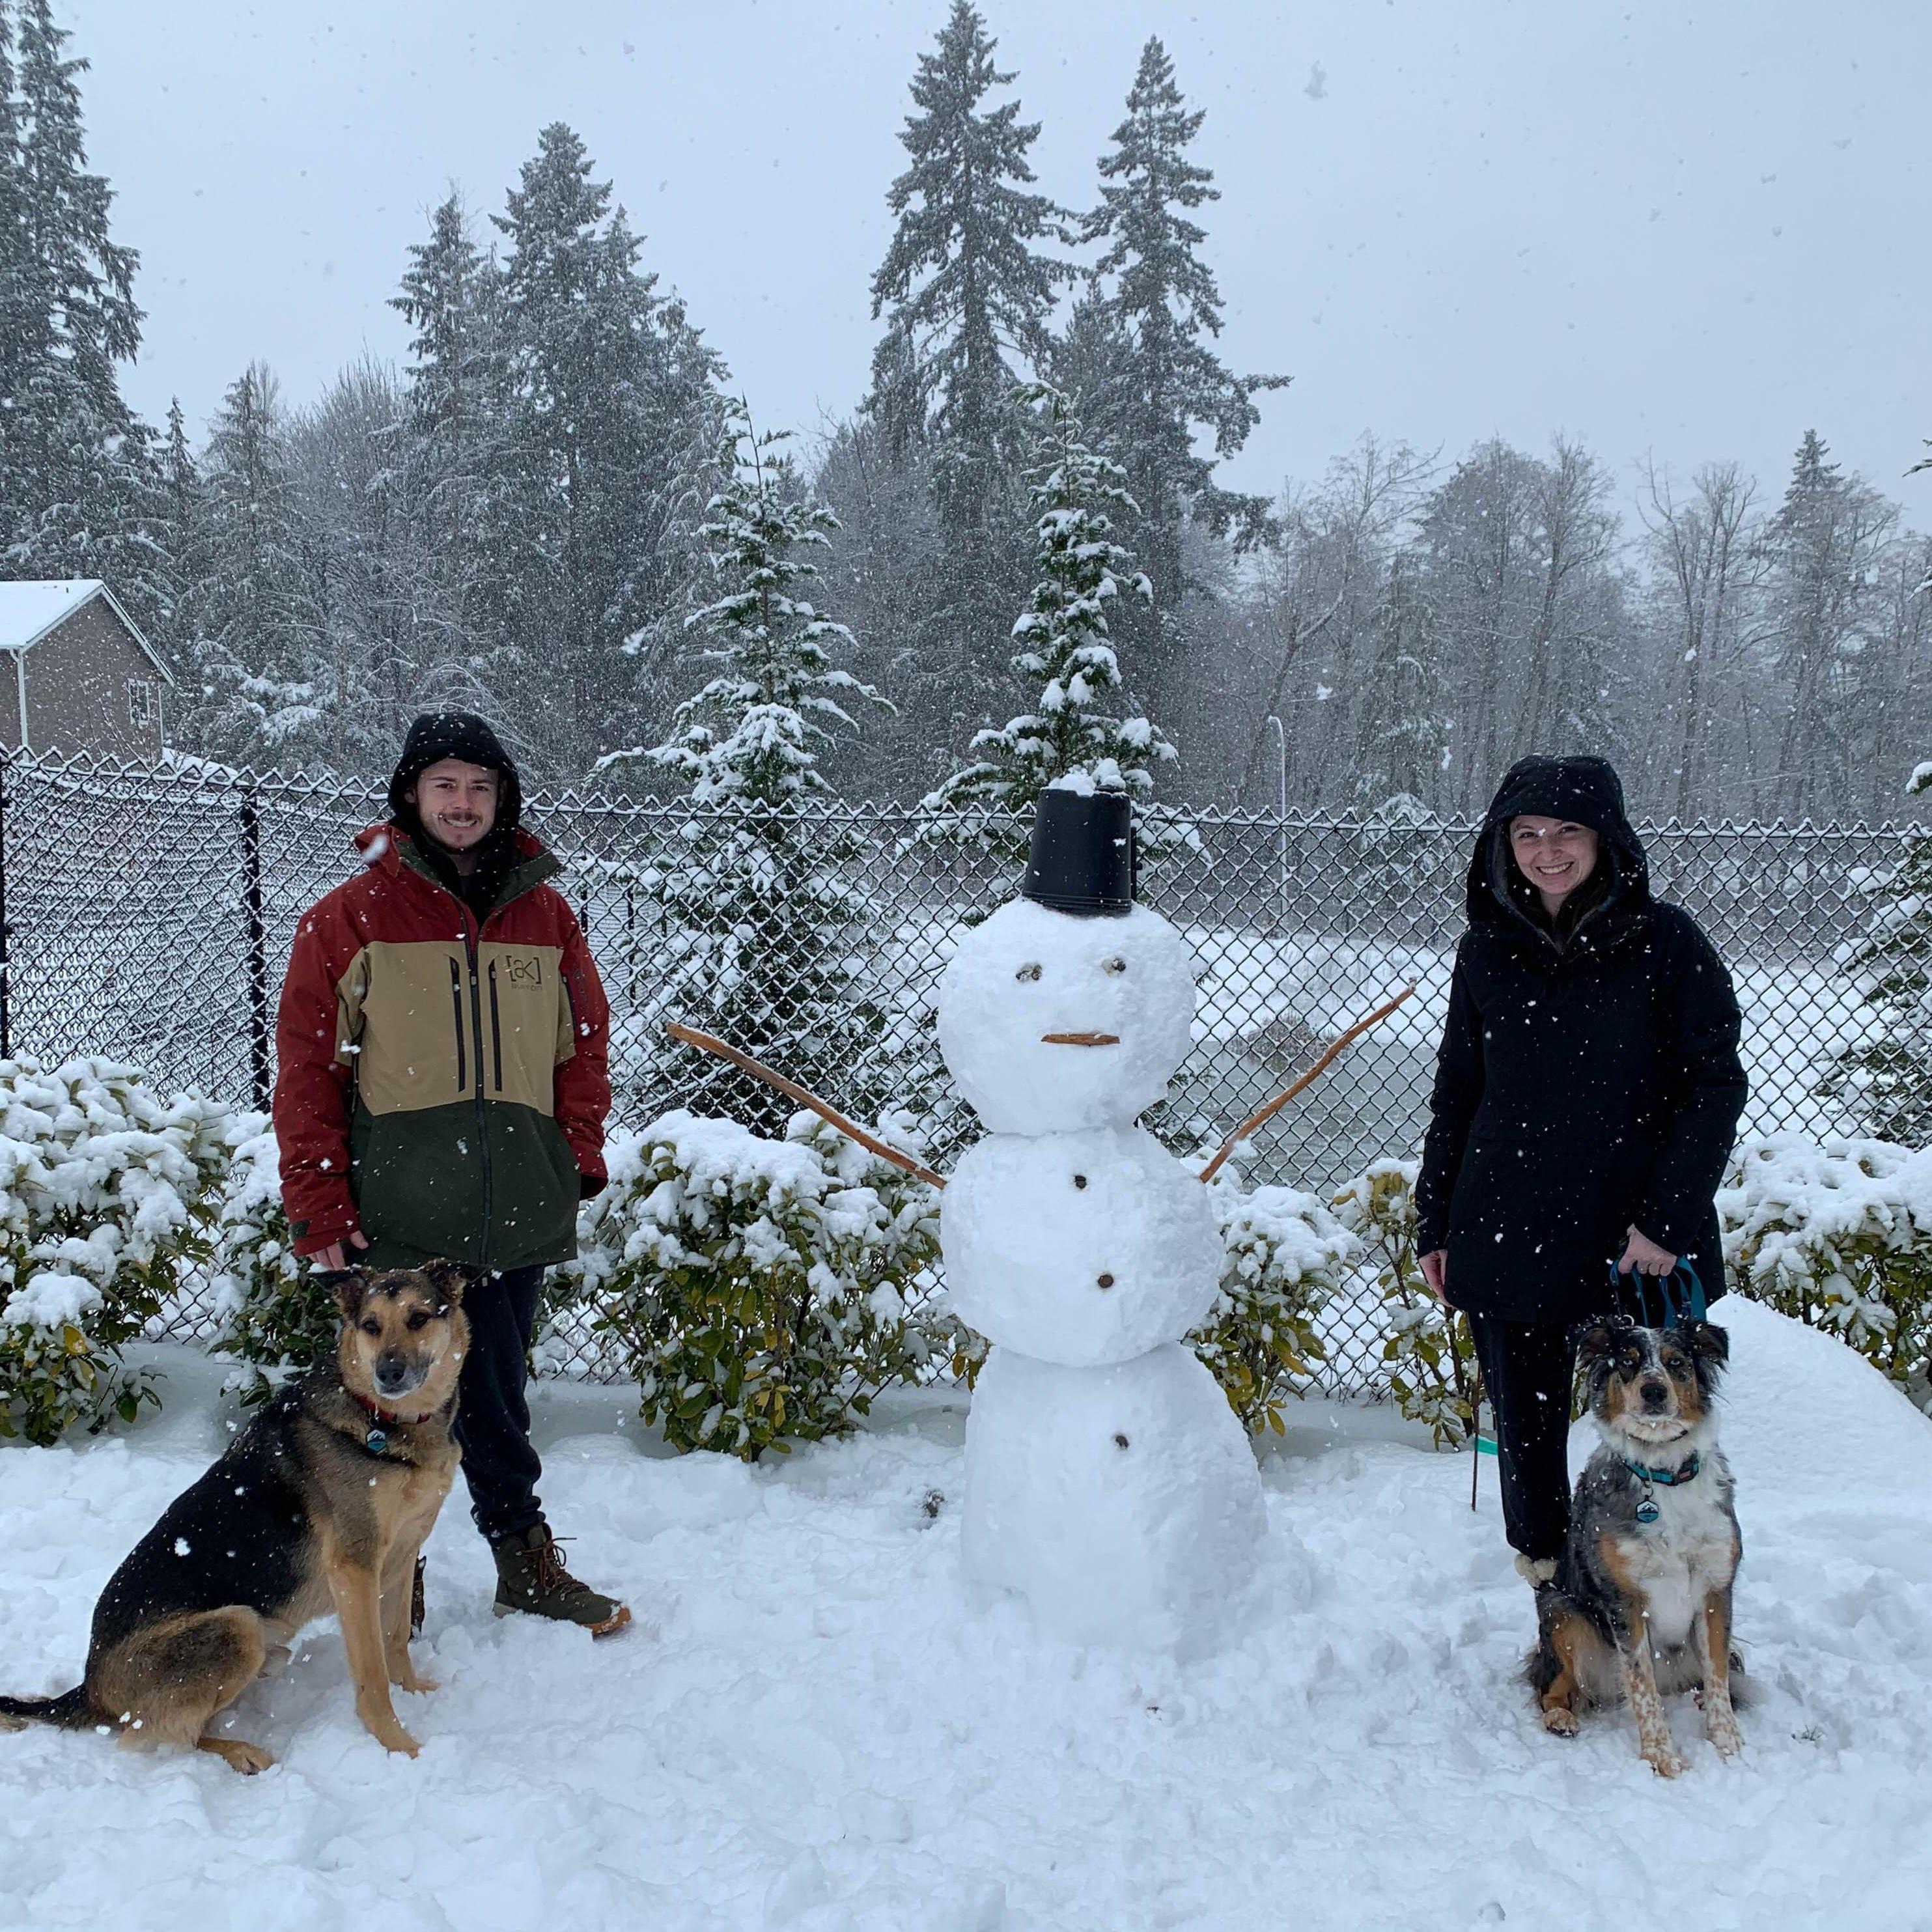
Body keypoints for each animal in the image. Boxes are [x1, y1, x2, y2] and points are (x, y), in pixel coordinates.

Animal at [0, 1259, 468, 1769]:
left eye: (419, 1319)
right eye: (370, 1326)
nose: (389, 1374)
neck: (386, 1422)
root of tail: (90, 1688)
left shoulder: (402, 1556)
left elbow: (397, 1640)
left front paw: (416, 1693)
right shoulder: (355, 1567)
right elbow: (373, 1674)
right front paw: (398, 1745)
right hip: (237, 1627)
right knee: (157, 1735)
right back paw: (241, 1752)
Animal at [1530, 1313, 1746, 1777]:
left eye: (1676, 1362)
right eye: (1627, 1363)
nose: (1653, 1390)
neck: (1662, 1474)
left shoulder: (1716, 1589)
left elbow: (1718, 1675)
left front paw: (1729, 1745)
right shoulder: (1625, 1601)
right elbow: (1642, 1686)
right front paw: (1662, 1757)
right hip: (1560, 1610)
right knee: (1550, 1686)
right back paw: (1560, 1718)